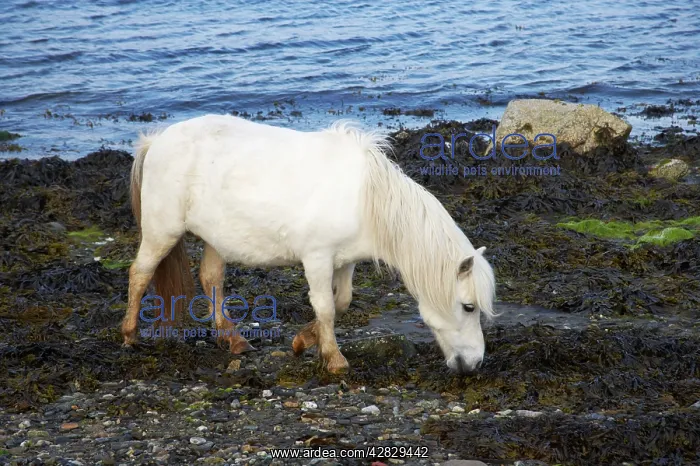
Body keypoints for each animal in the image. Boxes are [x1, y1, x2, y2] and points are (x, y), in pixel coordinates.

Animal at [120, 114, 497, 374]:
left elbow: (341, 302)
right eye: (468, 307)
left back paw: (233, 339)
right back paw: (130, 335)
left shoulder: (345, 261)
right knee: (140, 274)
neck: (365, 198)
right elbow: (325, 306)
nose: (475, 363)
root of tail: (156, 141)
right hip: (162, 232)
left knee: (211, 279)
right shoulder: (317, 259)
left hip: (215, 238)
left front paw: (304, 340)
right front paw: (334, 360)